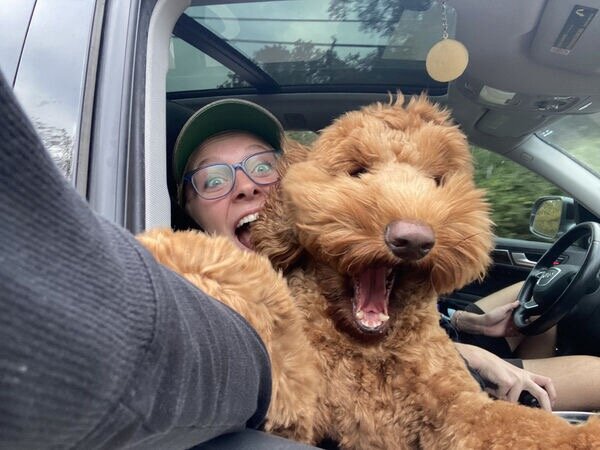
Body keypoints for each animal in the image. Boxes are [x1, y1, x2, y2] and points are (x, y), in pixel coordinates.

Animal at [139, 95, 600, 448]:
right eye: (357, 171)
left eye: (437, 180)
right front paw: (177, 254)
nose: (412, 238)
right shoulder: (303, 410)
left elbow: (520, 427)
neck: (371, 348)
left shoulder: (460, 409)